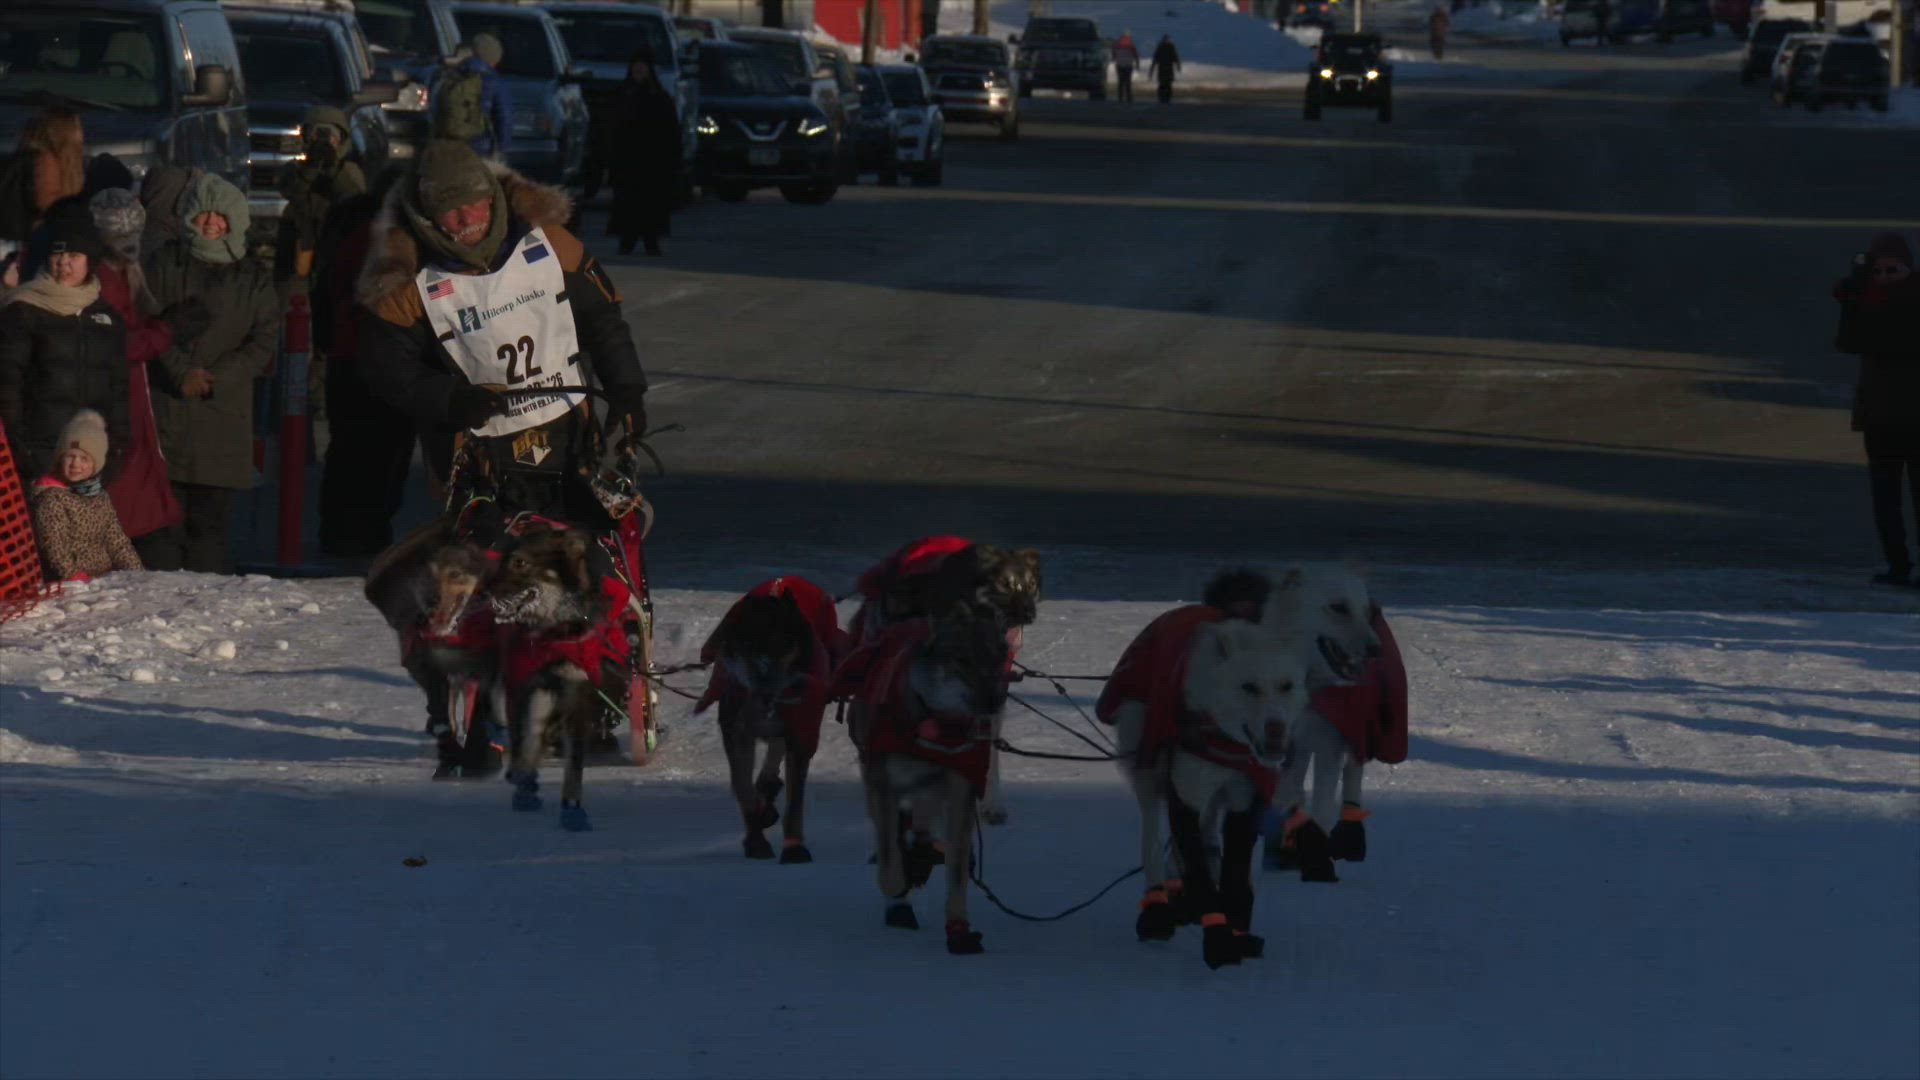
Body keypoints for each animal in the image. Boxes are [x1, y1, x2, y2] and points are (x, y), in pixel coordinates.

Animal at [489, 524, 629, 832]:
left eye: (520, 562)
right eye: (501, 562)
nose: (482, 591)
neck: (555, 632)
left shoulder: (576, 691)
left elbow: (574, 760)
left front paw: (572, 808)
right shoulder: (524, 684)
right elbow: (526, 739)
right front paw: (524, 788)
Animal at [696, 578, 846, 863]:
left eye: (781, 642)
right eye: (746, 642)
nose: (764, 682)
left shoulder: (801, 732)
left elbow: (795, 799)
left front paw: (794, 847)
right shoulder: (736, 731)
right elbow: (742, 786)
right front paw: (756, 840)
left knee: (775, 756)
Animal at [843, 605, 1012, 955]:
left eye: (998, 657)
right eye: (962, 659)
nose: (997, 699)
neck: (936, 727)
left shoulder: (960, 793)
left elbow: (957, 872)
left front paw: (959, 925)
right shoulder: (885, 787)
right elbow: (890, 864)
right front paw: (898, 890)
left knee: (925, 823)